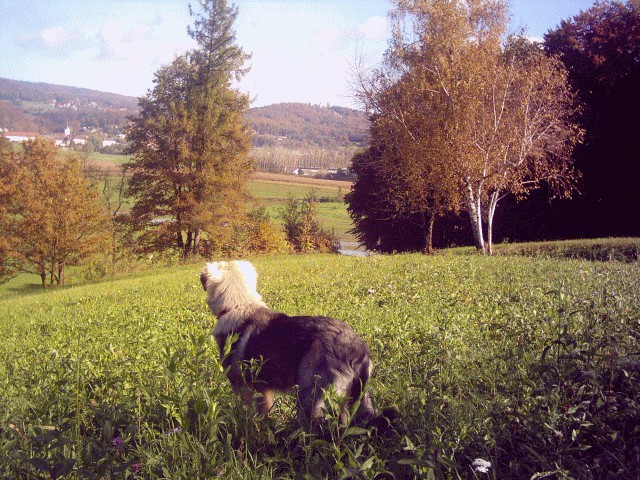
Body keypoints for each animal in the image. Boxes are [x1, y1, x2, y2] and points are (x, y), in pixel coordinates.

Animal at [200, 260, 376, 430]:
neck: (238, 305)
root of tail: (358, 349)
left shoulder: (241, 387)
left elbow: (246, 415)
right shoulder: (263, 389)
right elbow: (264, 413)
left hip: (310, 398)